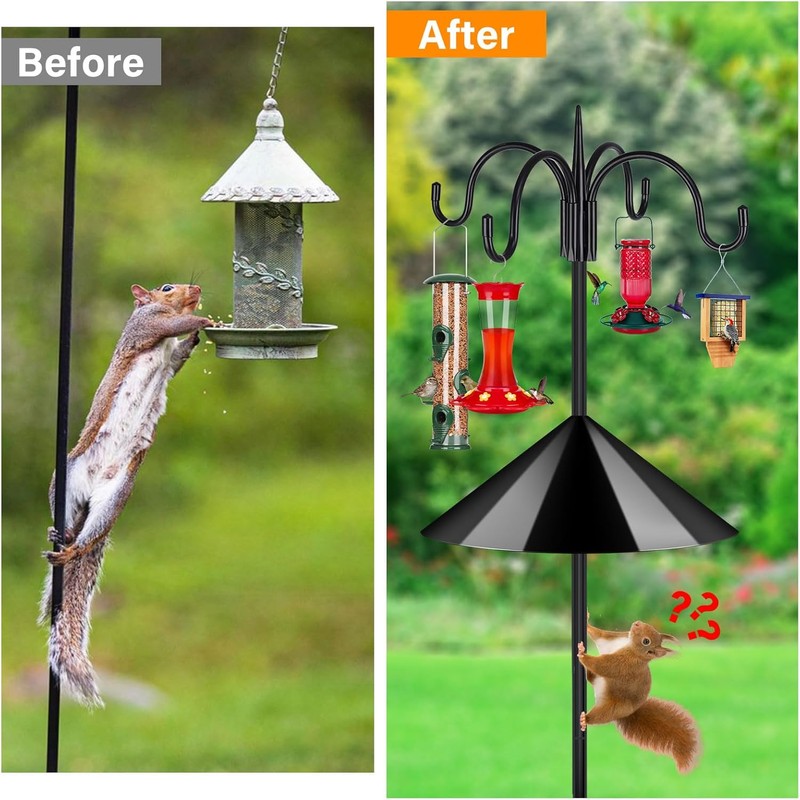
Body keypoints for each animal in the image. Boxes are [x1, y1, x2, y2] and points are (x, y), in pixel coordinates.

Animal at [38, 283, 214, 707]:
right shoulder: (145, 327)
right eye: (166, 287)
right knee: (68, 518)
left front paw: (194, 337)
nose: (197, 289)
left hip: (116, 494)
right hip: (66, 476)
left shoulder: (170, 360)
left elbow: (177, 357)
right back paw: (59, 535)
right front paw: (201, 322)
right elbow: (168, 327)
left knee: (88, 537)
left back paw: (72, 547)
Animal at [577, 616, 701, 773]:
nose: (637, 623)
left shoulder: (625, 664)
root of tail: (630, 713)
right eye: (650, 627)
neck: (630, 646)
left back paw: (585, 719)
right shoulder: (613, 638)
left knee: (598, 716)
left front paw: (582, 656)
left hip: (614, 708)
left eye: (646, 641)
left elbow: (605, 666)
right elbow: (600, 634)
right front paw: (587, 623)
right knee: (592, 677)